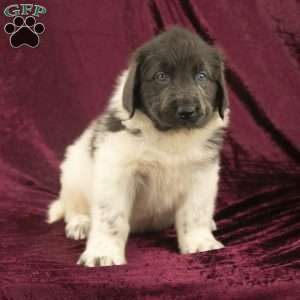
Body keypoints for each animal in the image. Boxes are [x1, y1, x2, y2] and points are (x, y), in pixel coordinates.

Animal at [47, 27, 230, 268]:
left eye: (202, 76)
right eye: (161, 77)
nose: (187, 111)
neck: (171, 136)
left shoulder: (202, 173)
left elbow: (195, 213)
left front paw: (200, 242)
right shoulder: (116, 171)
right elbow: (111, 217)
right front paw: (103, 254)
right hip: (73, 173)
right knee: (72, 206)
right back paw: (80, 223)